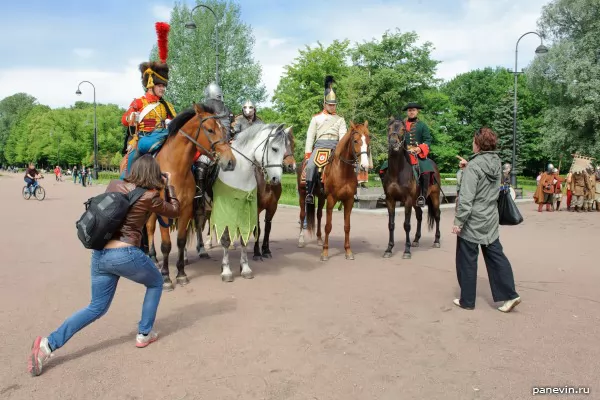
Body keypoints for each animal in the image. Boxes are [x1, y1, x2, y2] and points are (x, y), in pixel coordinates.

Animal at [120, 103, 236, 290]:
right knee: (149, 229)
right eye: (210, 129)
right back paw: (153, 258)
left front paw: (181, 273)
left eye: (224, 130)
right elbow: (166, 245)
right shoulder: (163, 211)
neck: (176, 169)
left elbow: (181, 241)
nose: (230, 161)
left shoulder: (186, 209)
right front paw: (166, 277)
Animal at [211, 123, 290, 282]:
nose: (276, 179)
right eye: (274, 148)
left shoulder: (251, 208)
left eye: (285, 149)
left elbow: (246, 235)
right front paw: (226, 270)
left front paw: (245, 268)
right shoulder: (228, 209)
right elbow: (227, 237)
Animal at [296, 120, 370, 260]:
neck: (343, 171)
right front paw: (325, 252)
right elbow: (328, 226)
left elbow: (347, 226)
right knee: (302, 215)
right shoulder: (331, 199)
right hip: (302, 194)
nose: (365, 166)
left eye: (368, 140)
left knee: (319, 215)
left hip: (320, 197)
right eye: (355, 141)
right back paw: (301, 240)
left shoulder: (349, 201)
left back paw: (319, 239)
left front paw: (348, 251)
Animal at [384, 118, 440, 260]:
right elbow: (391, 224)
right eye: (389, 128)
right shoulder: (390, 200)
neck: (397, 171)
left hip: (435, 196)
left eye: (403, 129)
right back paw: (416, 240)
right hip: (416, 201)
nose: (393, 143)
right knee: (419, 216)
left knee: (437, 215)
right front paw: (389, 248)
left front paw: (407, 251)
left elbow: (407, 225)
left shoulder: (408, 200)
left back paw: (437, 240)